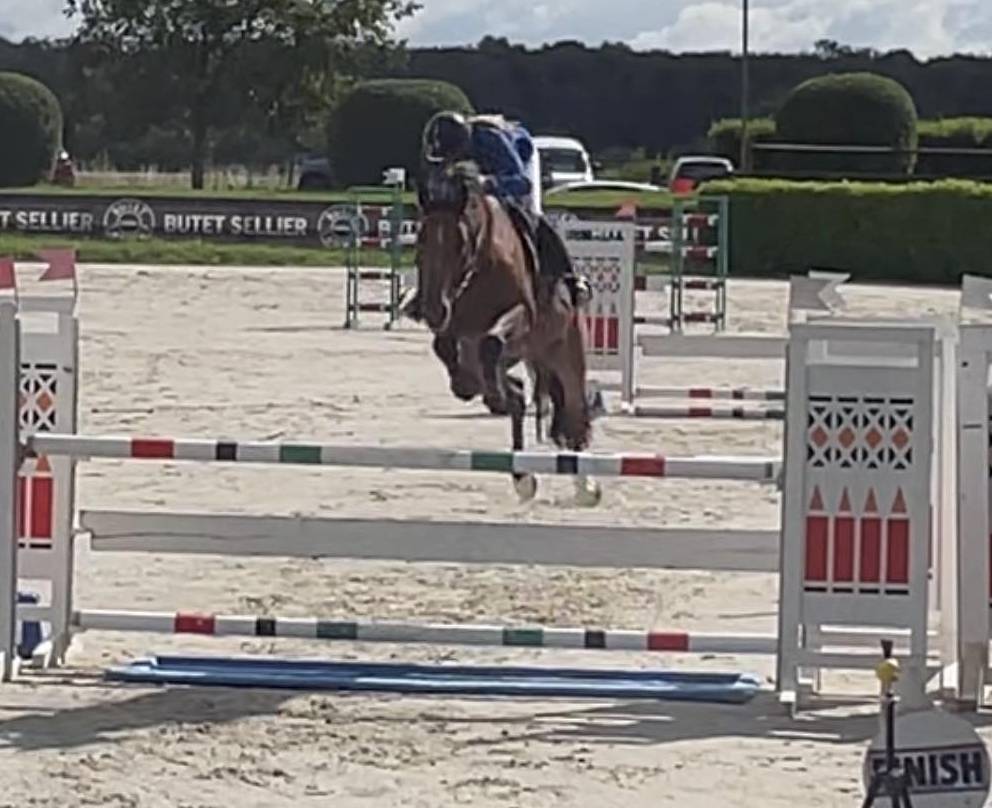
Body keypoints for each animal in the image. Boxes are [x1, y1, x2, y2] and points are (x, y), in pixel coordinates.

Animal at [415, 162, 600, 506]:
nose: (432, 310)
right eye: (420, 240)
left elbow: (491, 342)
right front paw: (468, 385)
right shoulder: (455, 327)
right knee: (514, 393)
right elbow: (444, 346)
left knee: (574, 414)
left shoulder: (520, 316)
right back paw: (522, 476)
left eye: (460, 242)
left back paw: (586, 487)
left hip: (564, 352)